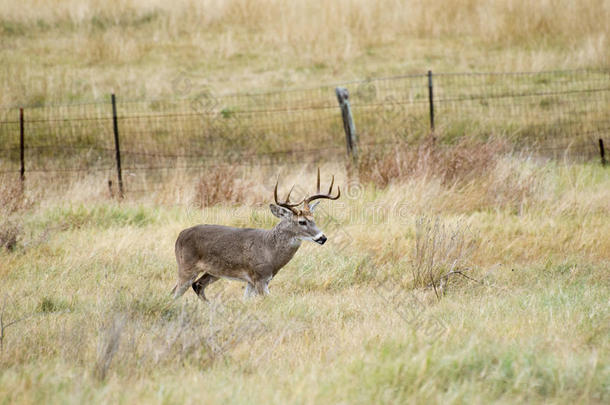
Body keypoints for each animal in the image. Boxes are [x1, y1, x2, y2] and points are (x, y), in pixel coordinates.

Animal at [171, 168, 340, 300]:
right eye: (302, 222)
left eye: (313, 219)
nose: (322, 238)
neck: (270, 251)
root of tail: (180, 235)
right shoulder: (259, 277)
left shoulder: (251, 281)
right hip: (186, 266)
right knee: (176, 292)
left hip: (213, 271)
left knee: (196, 286)